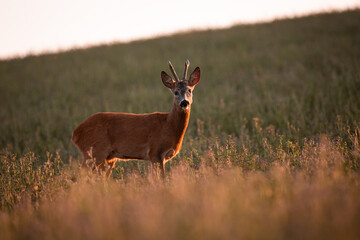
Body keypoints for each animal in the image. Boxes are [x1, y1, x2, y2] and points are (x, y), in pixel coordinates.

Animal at [70, 59, 200, 176]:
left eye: (189, 90)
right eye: (175, 92)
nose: (184, 102)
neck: (168, 125)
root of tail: (75, 133)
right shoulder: (155, 152)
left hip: (108, 158)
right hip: (94, 152)